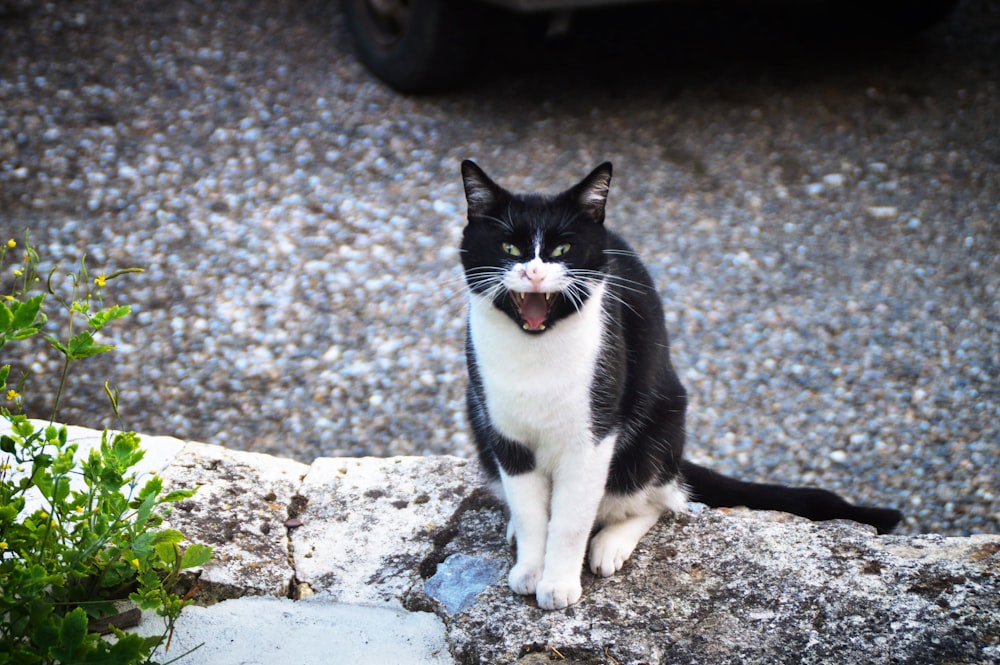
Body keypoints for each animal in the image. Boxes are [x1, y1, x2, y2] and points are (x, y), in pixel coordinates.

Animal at [460, 158, 908, 608]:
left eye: (561, 250)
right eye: (509, 248)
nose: (534, 273)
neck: (535, 353)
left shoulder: (593, 434)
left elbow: (571, 519)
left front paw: (558, 584)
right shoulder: (504, 435)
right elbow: (531, 512)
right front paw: (530, 569)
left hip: (656, 429)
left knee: (660, 498)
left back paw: (610, 544)